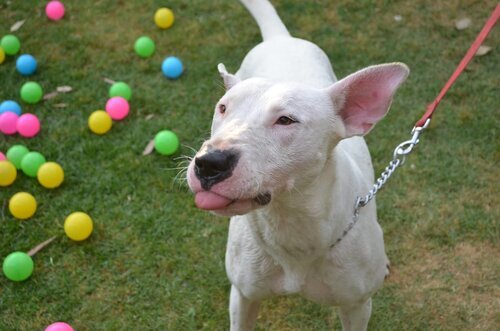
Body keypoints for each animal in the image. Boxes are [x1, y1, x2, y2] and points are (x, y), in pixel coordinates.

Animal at [186, 1, 408, 330]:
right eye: (223, 107)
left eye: (286, 120)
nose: (210, 164)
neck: (290, 220)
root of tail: (280, 38)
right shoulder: (243, 295)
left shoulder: (357, 305)